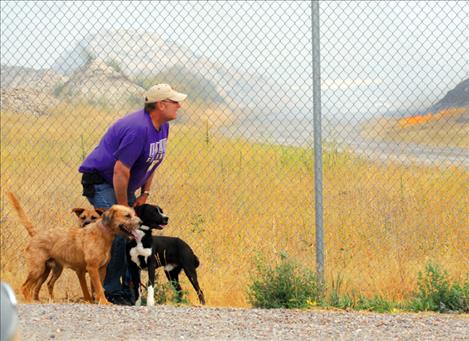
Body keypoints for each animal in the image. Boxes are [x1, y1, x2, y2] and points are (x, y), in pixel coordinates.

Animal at [8, 193, 140, 304]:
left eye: (133, 214)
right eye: (127, 216)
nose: (140, 222)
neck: (102, 234)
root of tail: (37, 234)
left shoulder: (101, 269)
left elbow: (98, 287)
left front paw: (98, 301)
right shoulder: (90, 269)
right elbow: (96, 288)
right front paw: (104, 302)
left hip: (48, 271)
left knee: (40, 285)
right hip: (37, 269)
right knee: (25, 287)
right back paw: (30, 302)